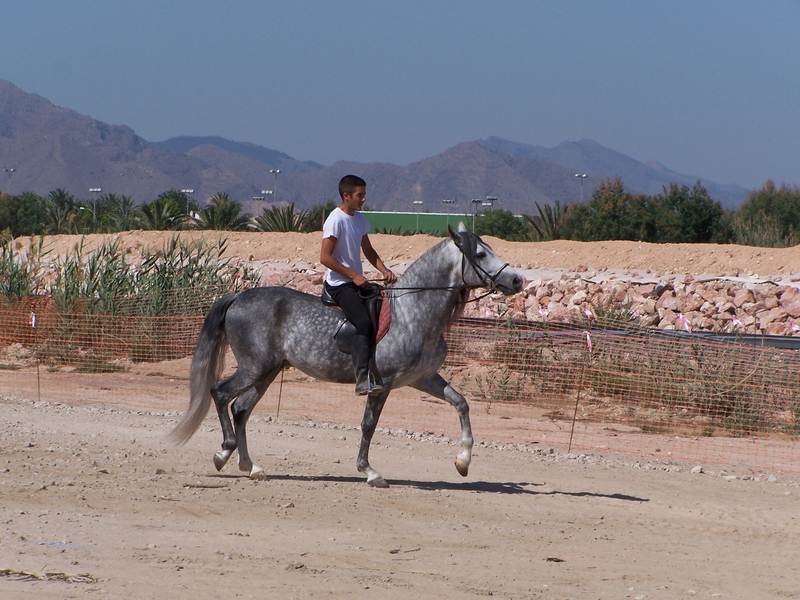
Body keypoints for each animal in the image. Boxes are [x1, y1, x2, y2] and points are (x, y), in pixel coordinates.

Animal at [169, 224, 522, 487]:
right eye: (480, 253)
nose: (517, 279)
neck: (411, 311)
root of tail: (238, 297)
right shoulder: (383, 383)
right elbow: (368, 426)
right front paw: (370, 472)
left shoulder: (422, 378)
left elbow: (461, 403)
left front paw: (463, 462)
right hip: (255, 368)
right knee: (220, 393)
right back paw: (224, 453)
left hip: (267, 372)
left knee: (241, 409)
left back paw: (250, 466)